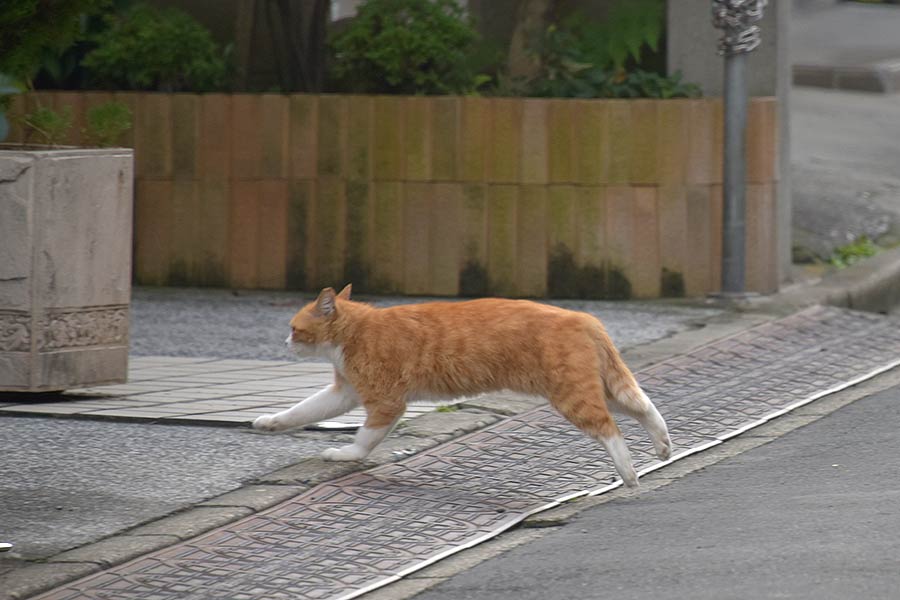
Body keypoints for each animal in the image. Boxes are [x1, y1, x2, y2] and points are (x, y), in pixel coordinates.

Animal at [251, 284, 668, 486]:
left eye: (294, 328)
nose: (284, 342)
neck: (355, 330)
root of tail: (582, 316)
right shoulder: (345, 392)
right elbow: (304, 409)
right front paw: (270, 422)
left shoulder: (386, 402)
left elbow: (365, 439)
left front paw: (346, 454)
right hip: (600, 387)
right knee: (645, 407)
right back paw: (663, 446)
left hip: (572, 395)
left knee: (610, 430)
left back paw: (629, 473)